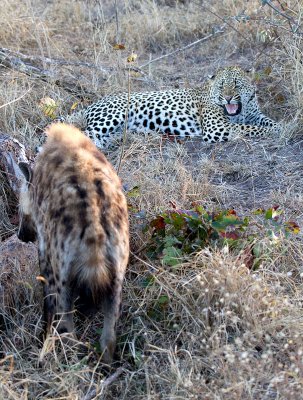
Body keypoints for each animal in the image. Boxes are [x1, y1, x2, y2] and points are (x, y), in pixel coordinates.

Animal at [61, 66, 282, 149]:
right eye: (221, 86)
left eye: (236, 85)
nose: (227, 98)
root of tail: (92, 104)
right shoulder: (218, 128)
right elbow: (251, 128)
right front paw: (276, 131)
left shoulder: (255, 114)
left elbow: (267, 122)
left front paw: (283, 126)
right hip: (109, 118)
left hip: (112, 132)